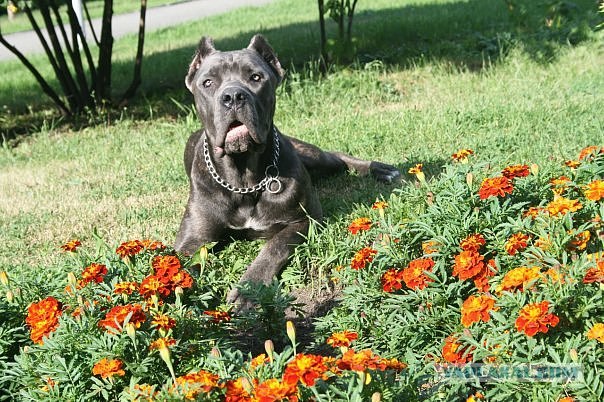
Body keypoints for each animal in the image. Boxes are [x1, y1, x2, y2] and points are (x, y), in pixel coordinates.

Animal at [175, 35, 402, 304]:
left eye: (256, 77)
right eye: (208, 82)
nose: (233, 95)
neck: (243, 178)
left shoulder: (303, 220)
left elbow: (274, 247)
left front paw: (249, 290)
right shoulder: (193, 240)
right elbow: (178, 266)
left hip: (315, 158)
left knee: (338, 157)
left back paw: (382, 170)